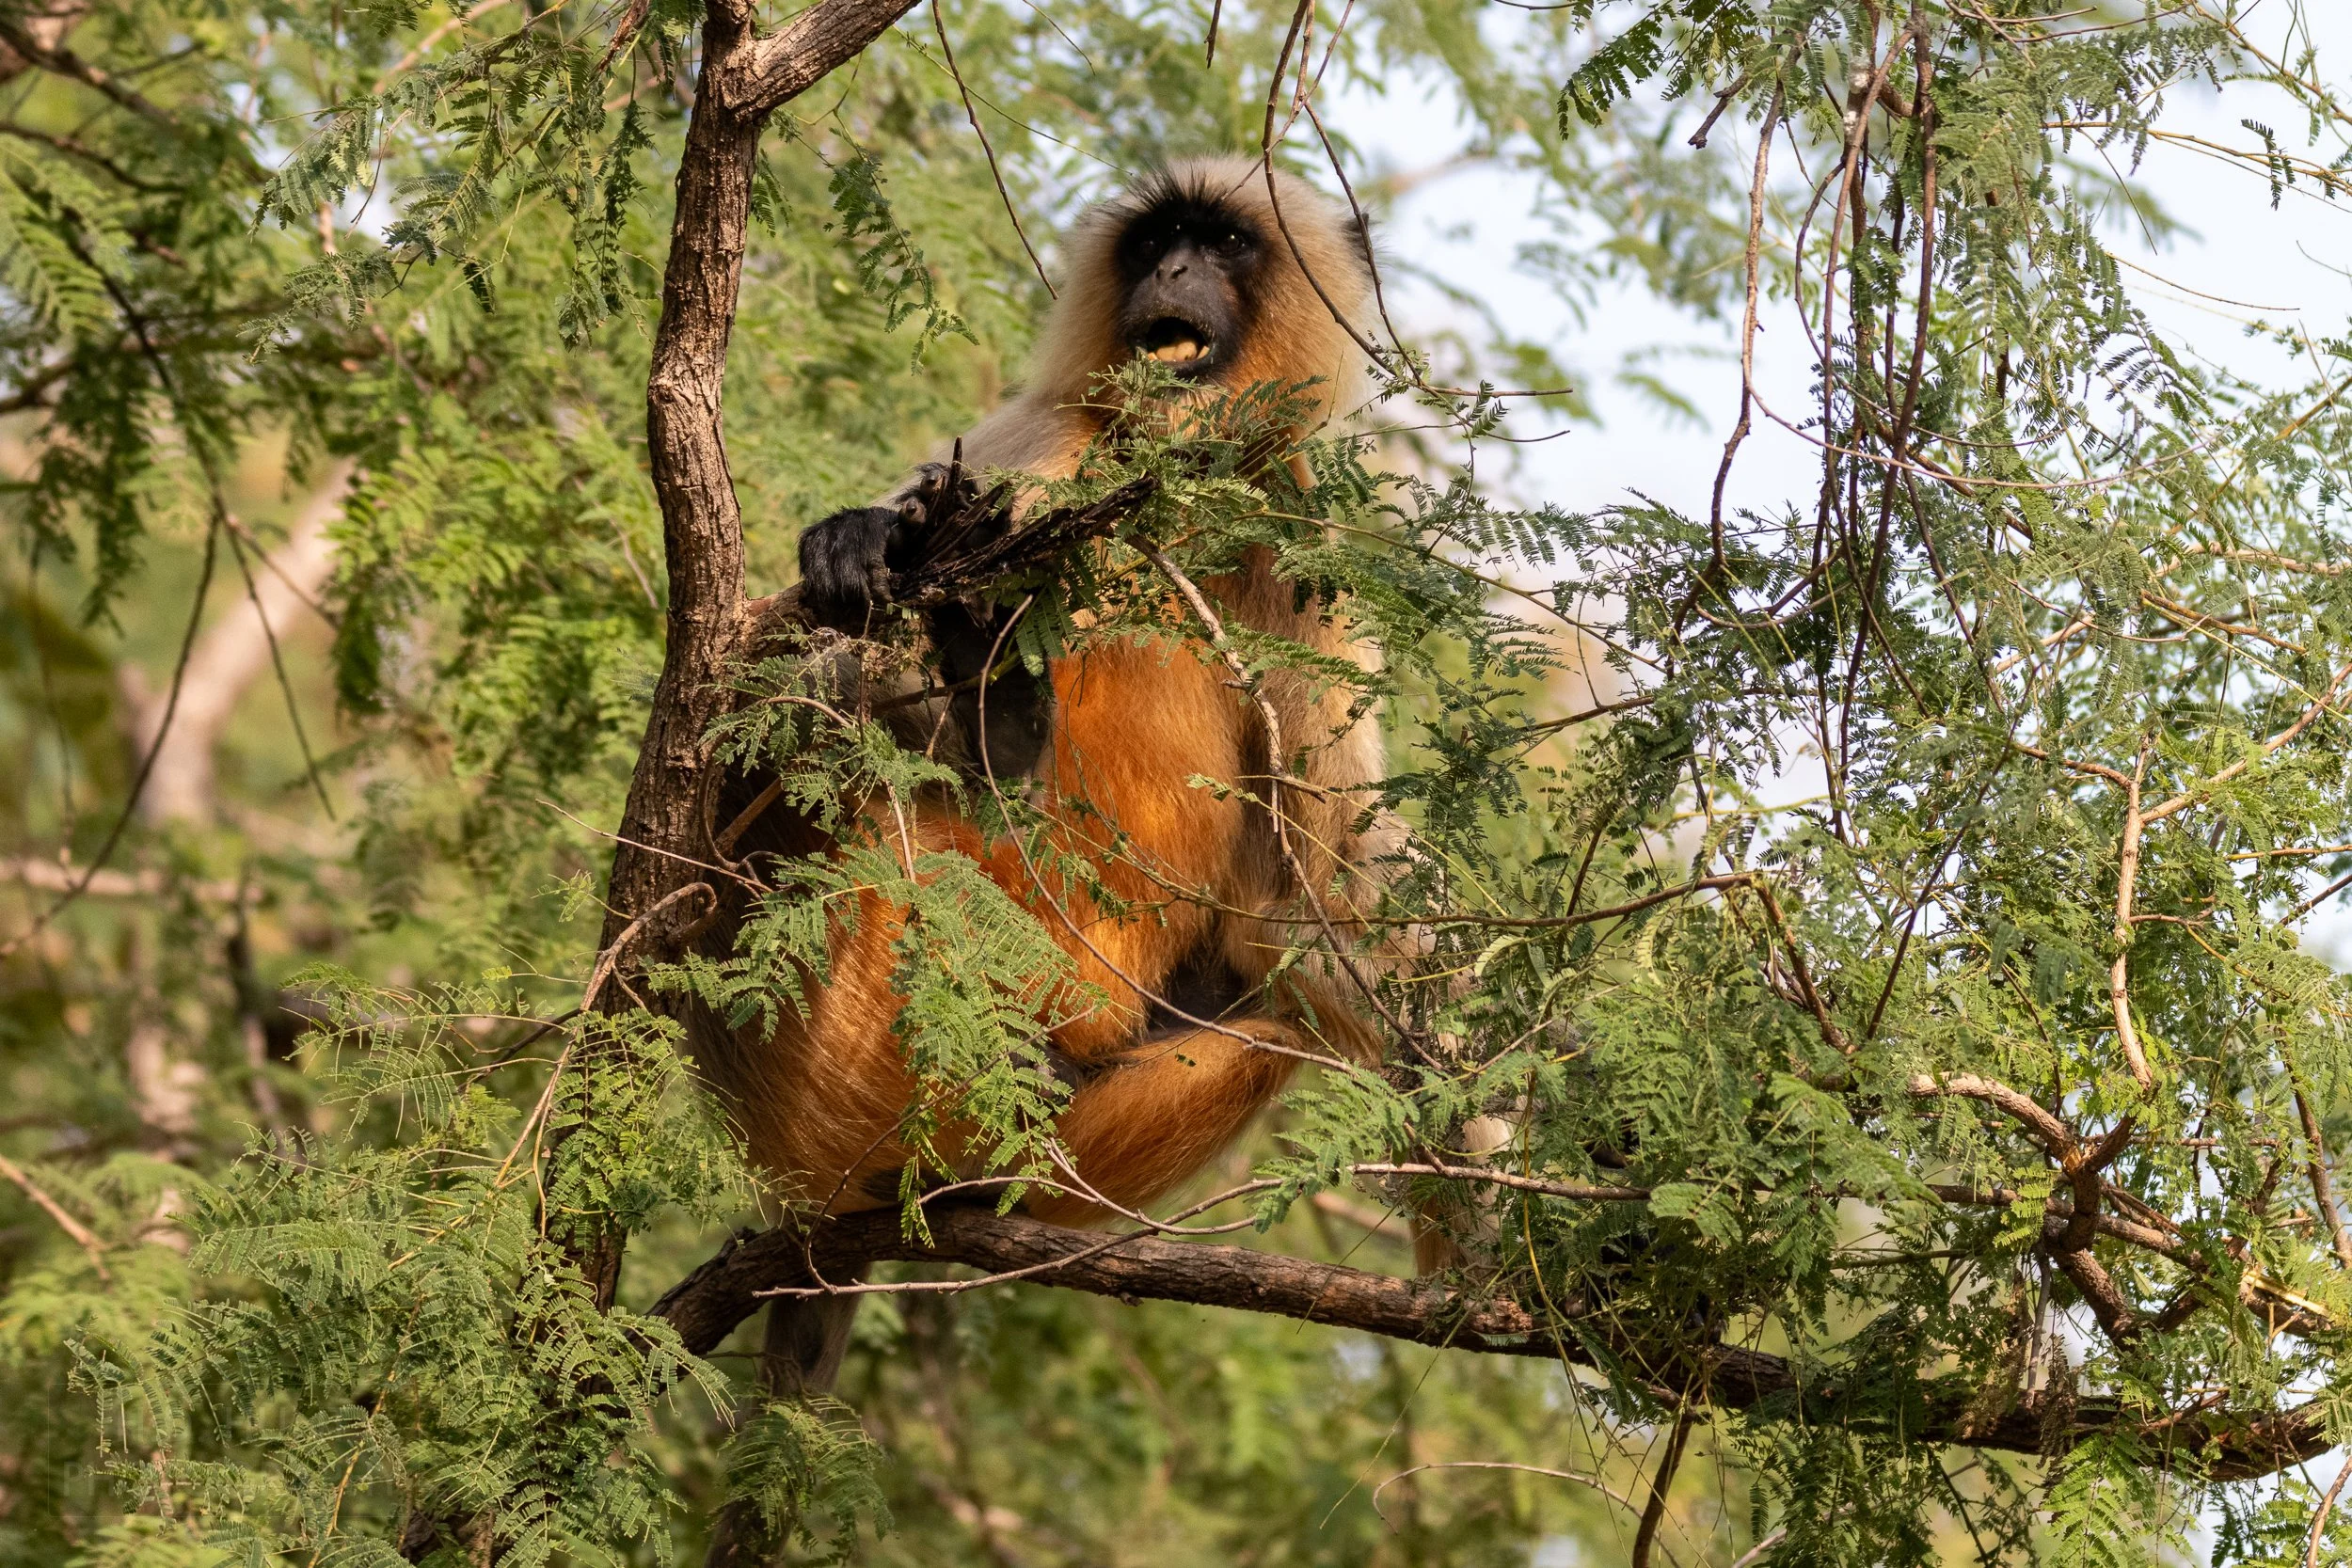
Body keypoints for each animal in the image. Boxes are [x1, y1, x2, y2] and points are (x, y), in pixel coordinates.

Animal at [700, 157, 1408, 1275]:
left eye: (1223, 243)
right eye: (1158, 239)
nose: (1172, 270)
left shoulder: (1291, 521)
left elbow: (1320, 898)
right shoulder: (1048, 441)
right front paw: (861, 543)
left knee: (1274, 996)